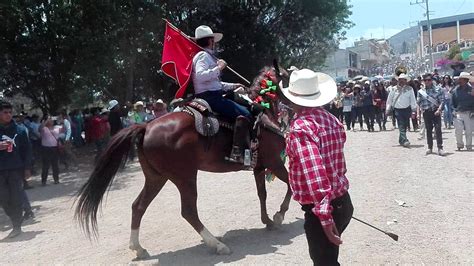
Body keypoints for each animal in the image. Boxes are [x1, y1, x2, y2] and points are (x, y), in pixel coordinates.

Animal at [75, 65, 292, 258]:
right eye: (287, 77)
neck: (262, 113)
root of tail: (146, 127)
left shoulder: (260, 166)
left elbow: (262, 194)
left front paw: (268, 221)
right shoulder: (274, 162)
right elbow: (290, 184)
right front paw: (279, 215)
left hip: (156, 178)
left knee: (138, 206)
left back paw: (138, 248)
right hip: (185, 177)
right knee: (188, 211)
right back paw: (217, 245)